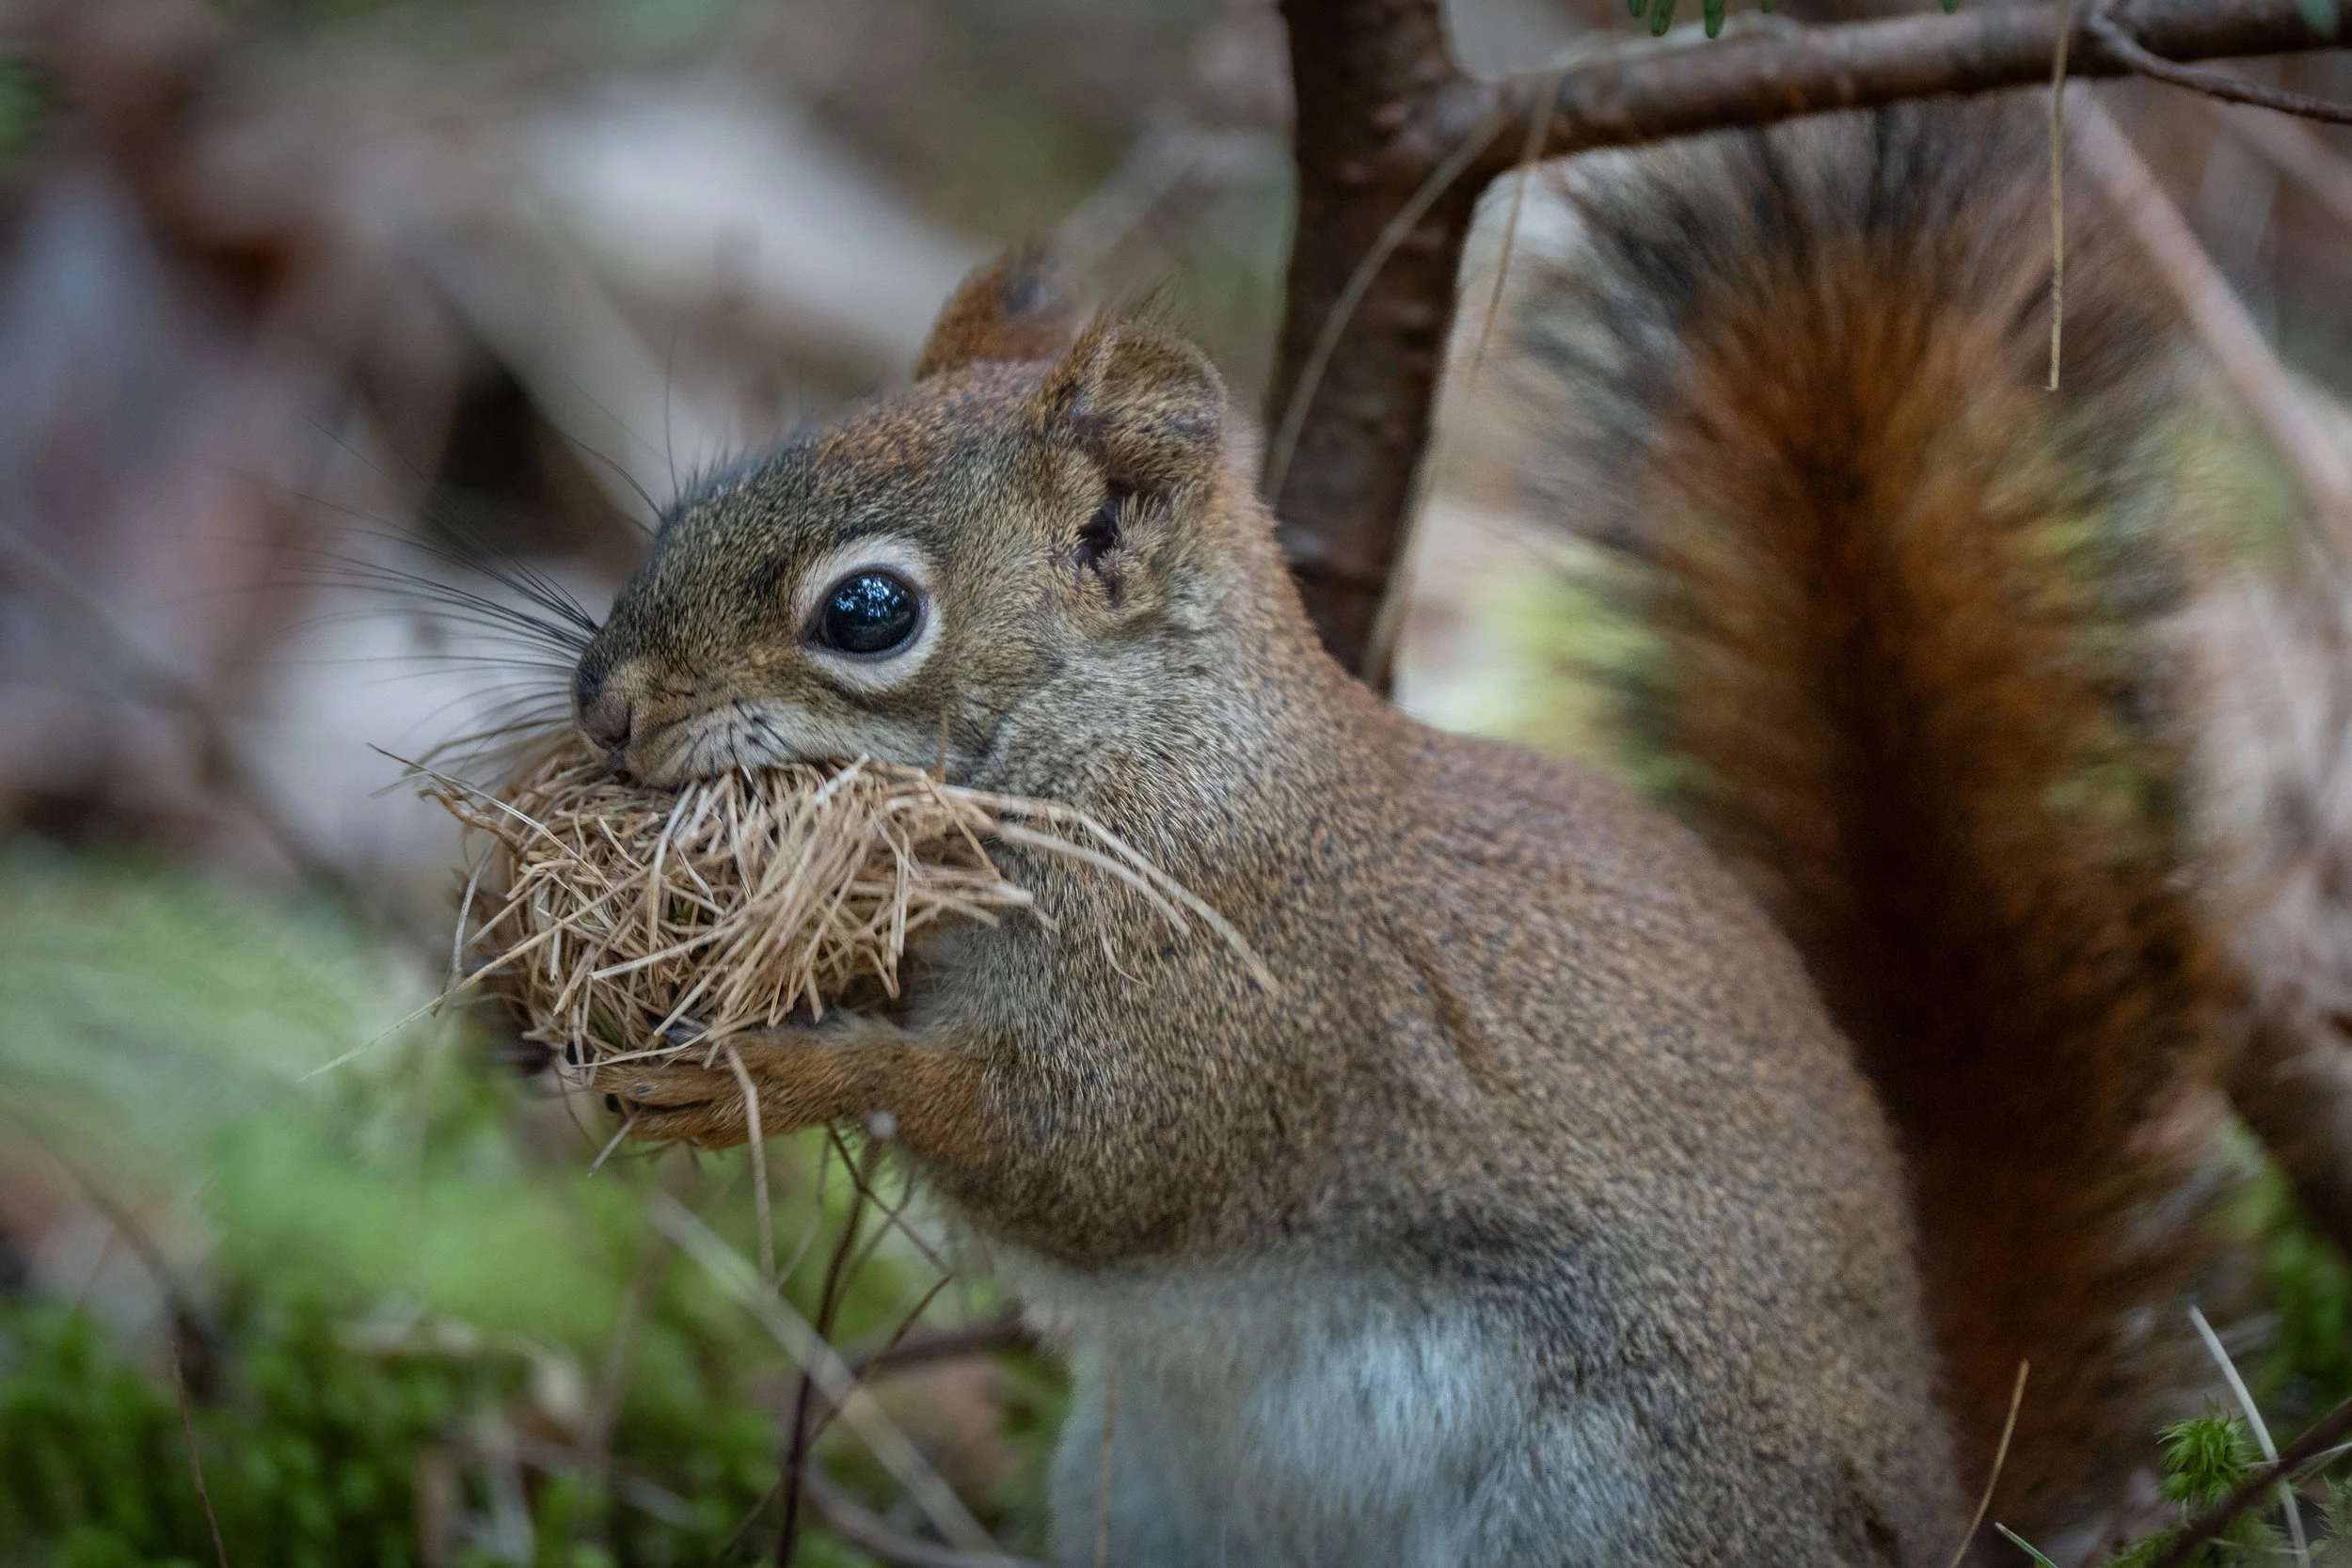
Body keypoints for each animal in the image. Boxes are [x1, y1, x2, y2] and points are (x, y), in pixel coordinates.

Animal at [567, 95, 2231, 1566]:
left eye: (867, 610)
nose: (606, 707)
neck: (1135, 758)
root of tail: (1946, 1492)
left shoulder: (1232, 998)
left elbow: (1084, 1153)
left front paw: (779, 1072)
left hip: (1616, 1510)